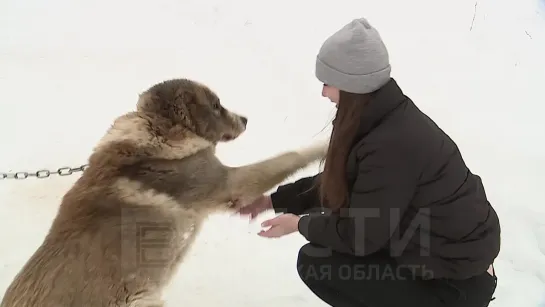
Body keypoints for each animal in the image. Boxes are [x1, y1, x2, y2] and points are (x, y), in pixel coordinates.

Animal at [1, 78, 328, 306]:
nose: (246, 119)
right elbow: (288, 157)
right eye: (216, 106)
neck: (162, 129)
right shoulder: (229, 183)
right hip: (142, 299)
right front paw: (325, 146)